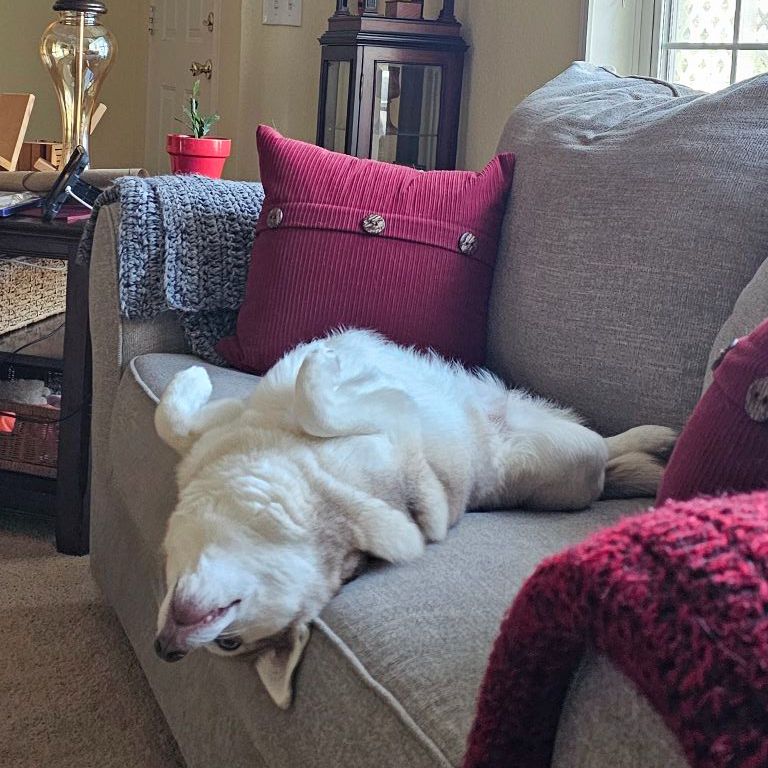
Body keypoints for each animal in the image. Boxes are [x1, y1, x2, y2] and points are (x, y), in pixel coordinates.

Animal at [153, 329, 675, 707]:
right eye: (230, 643)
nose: (165, 650)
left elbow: (185, 419)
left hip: (561, 440)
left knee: (609, 447)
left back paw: (657, 441)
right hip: (567, 450)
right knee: (609, 458)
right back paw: (654, 460)